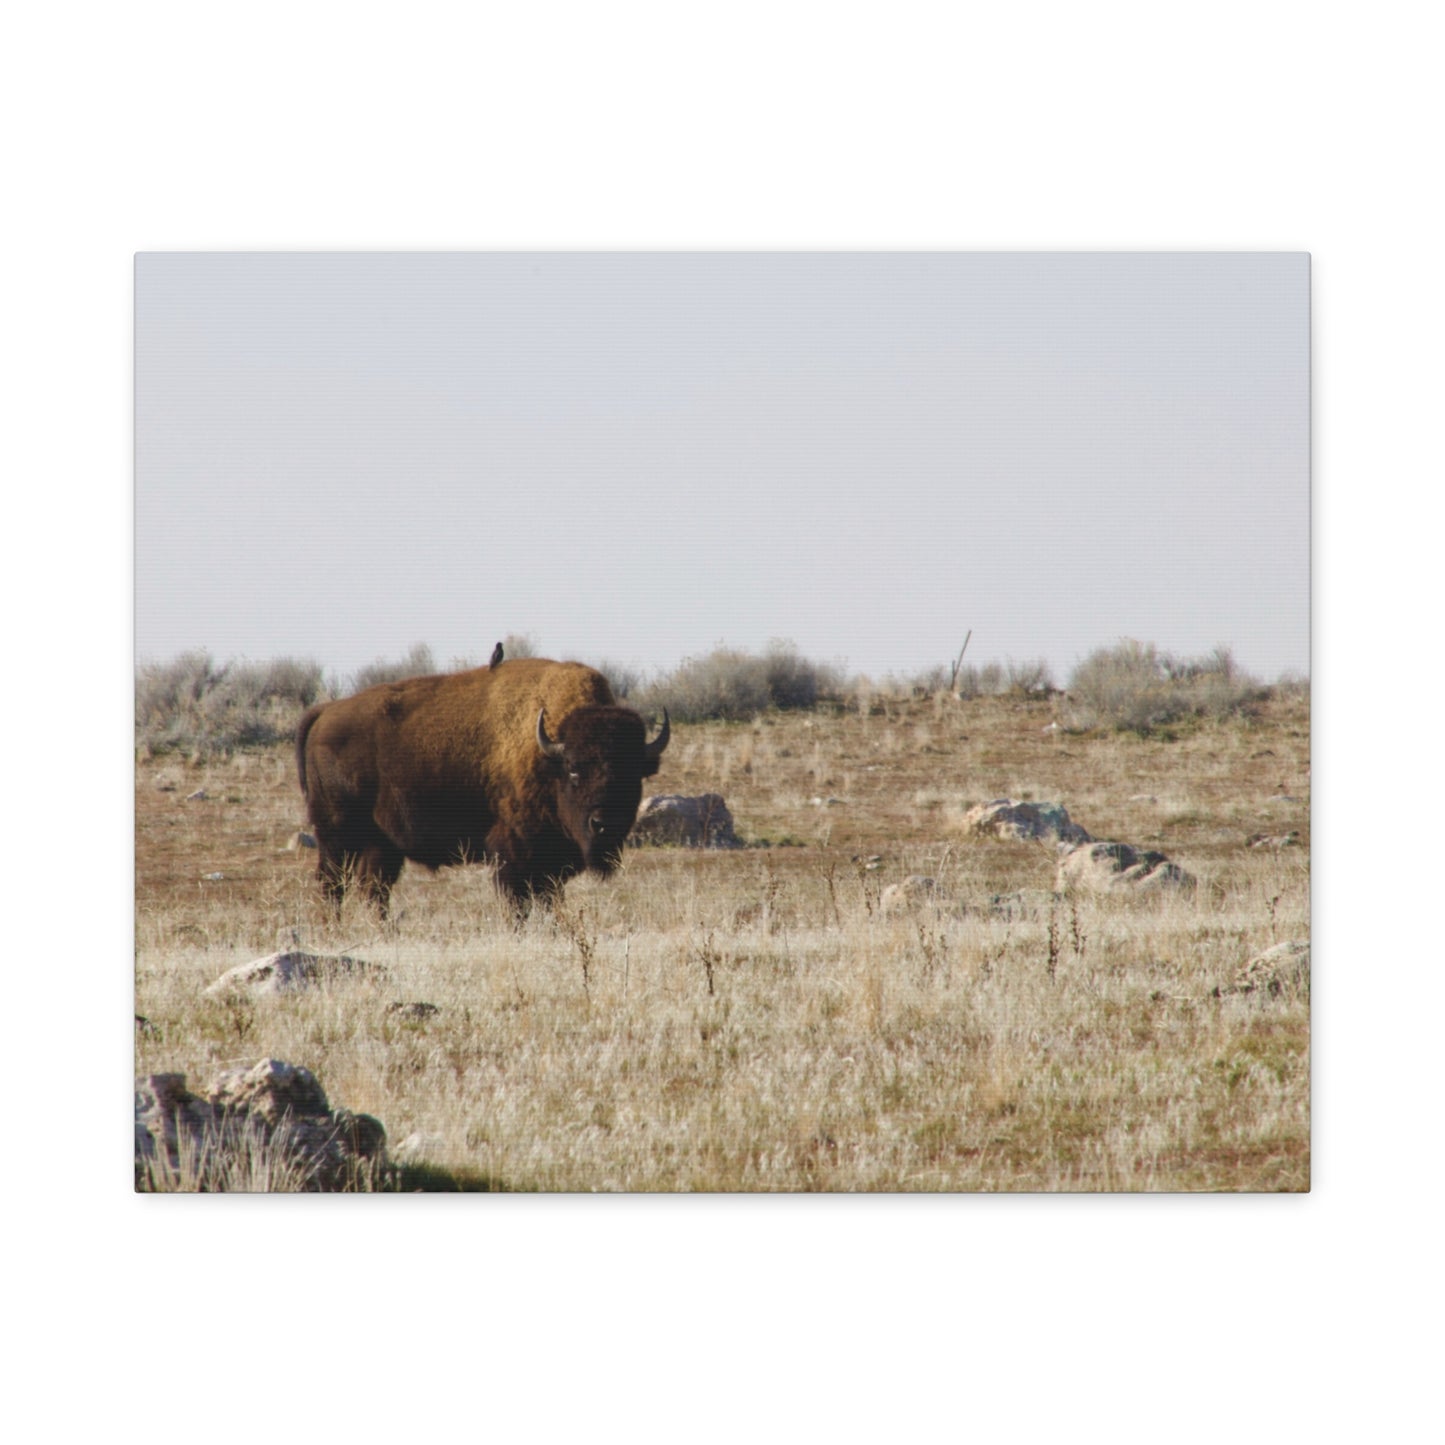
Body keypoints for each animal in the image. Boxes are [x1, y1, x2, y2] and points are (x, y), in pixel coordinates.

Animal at [295, 658, 669, 916]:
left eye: (633, 774)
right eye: (575, 771)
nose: (605, 824)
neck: (548, 754)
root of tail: (325, 711)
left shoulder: (551, 864)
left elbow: (548, 900)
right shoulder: (513, 854)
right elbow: (518, 903)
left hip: (381, 843)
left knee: (373, 889)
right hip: (337, 835)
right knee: (333, 885)